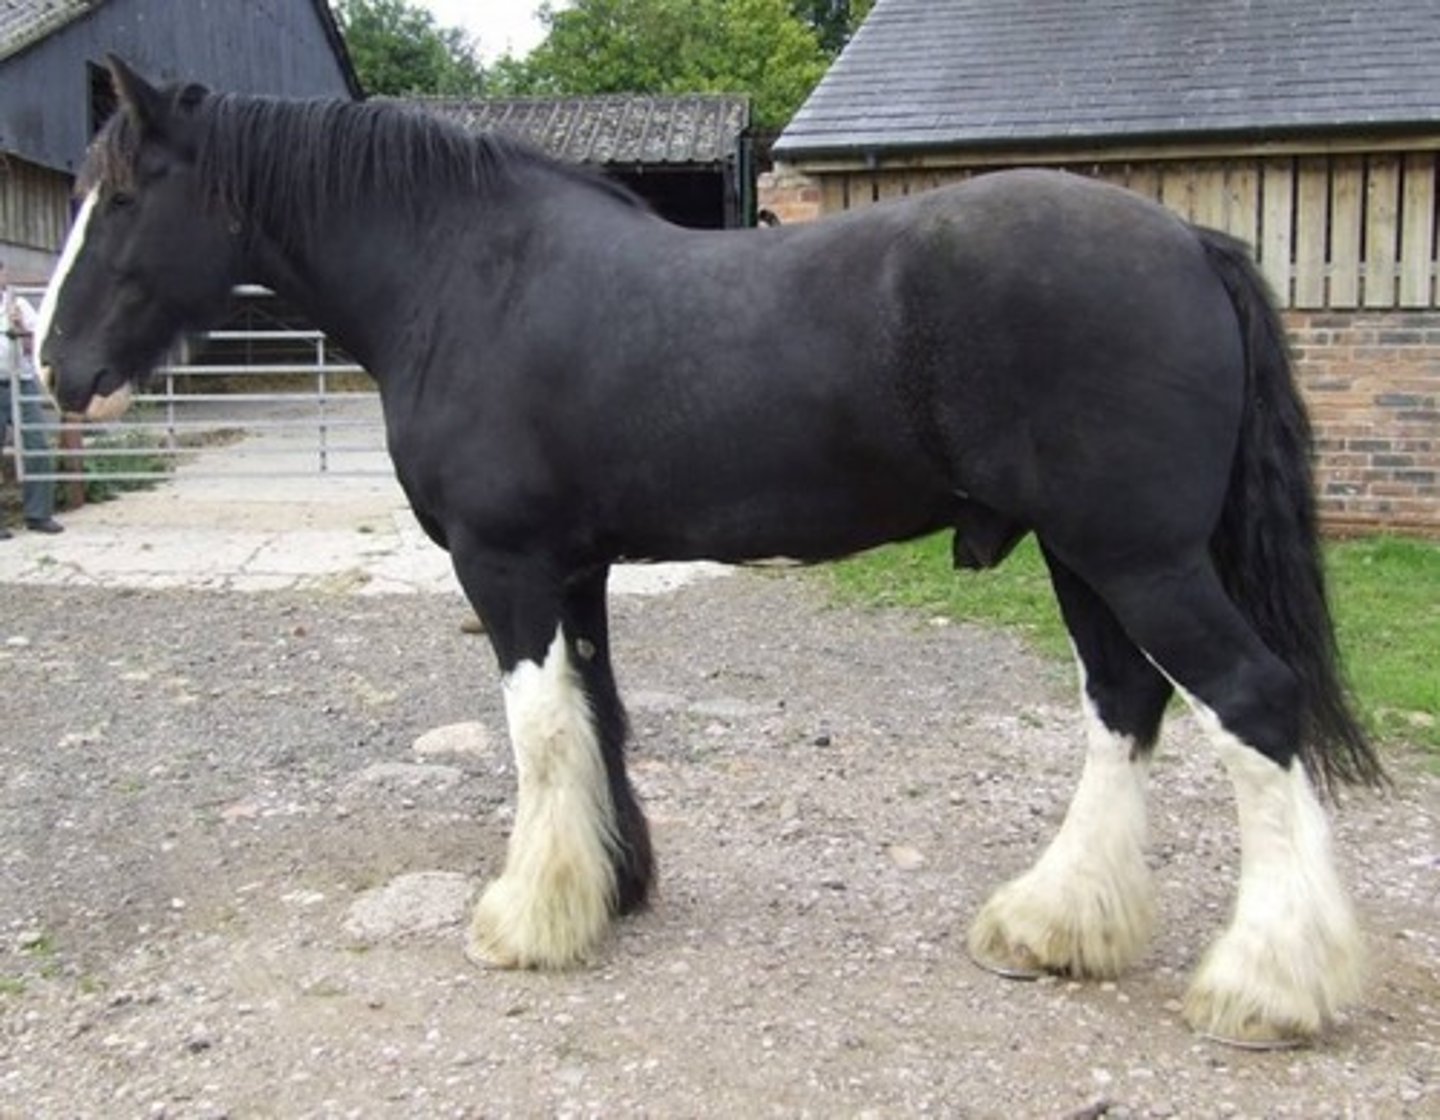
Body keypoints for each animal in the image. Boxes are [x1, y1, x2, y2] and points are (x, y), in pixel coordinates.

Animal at [39, 58, 1384, 1048]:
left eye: (121, 198)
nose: (57, 369)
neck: (466, 279)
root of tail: (1193, 242)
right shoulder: (574, 567)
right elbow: (599, 716)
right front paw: (613, 887)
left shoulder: (505, 566)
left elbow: (539, 730)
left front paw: (528, 916)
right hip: (1085, 555)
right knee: (1125, 704)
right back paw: (1055, 924)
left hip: (1139, 555)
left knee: (1249, 702)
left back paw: (1266, 986)